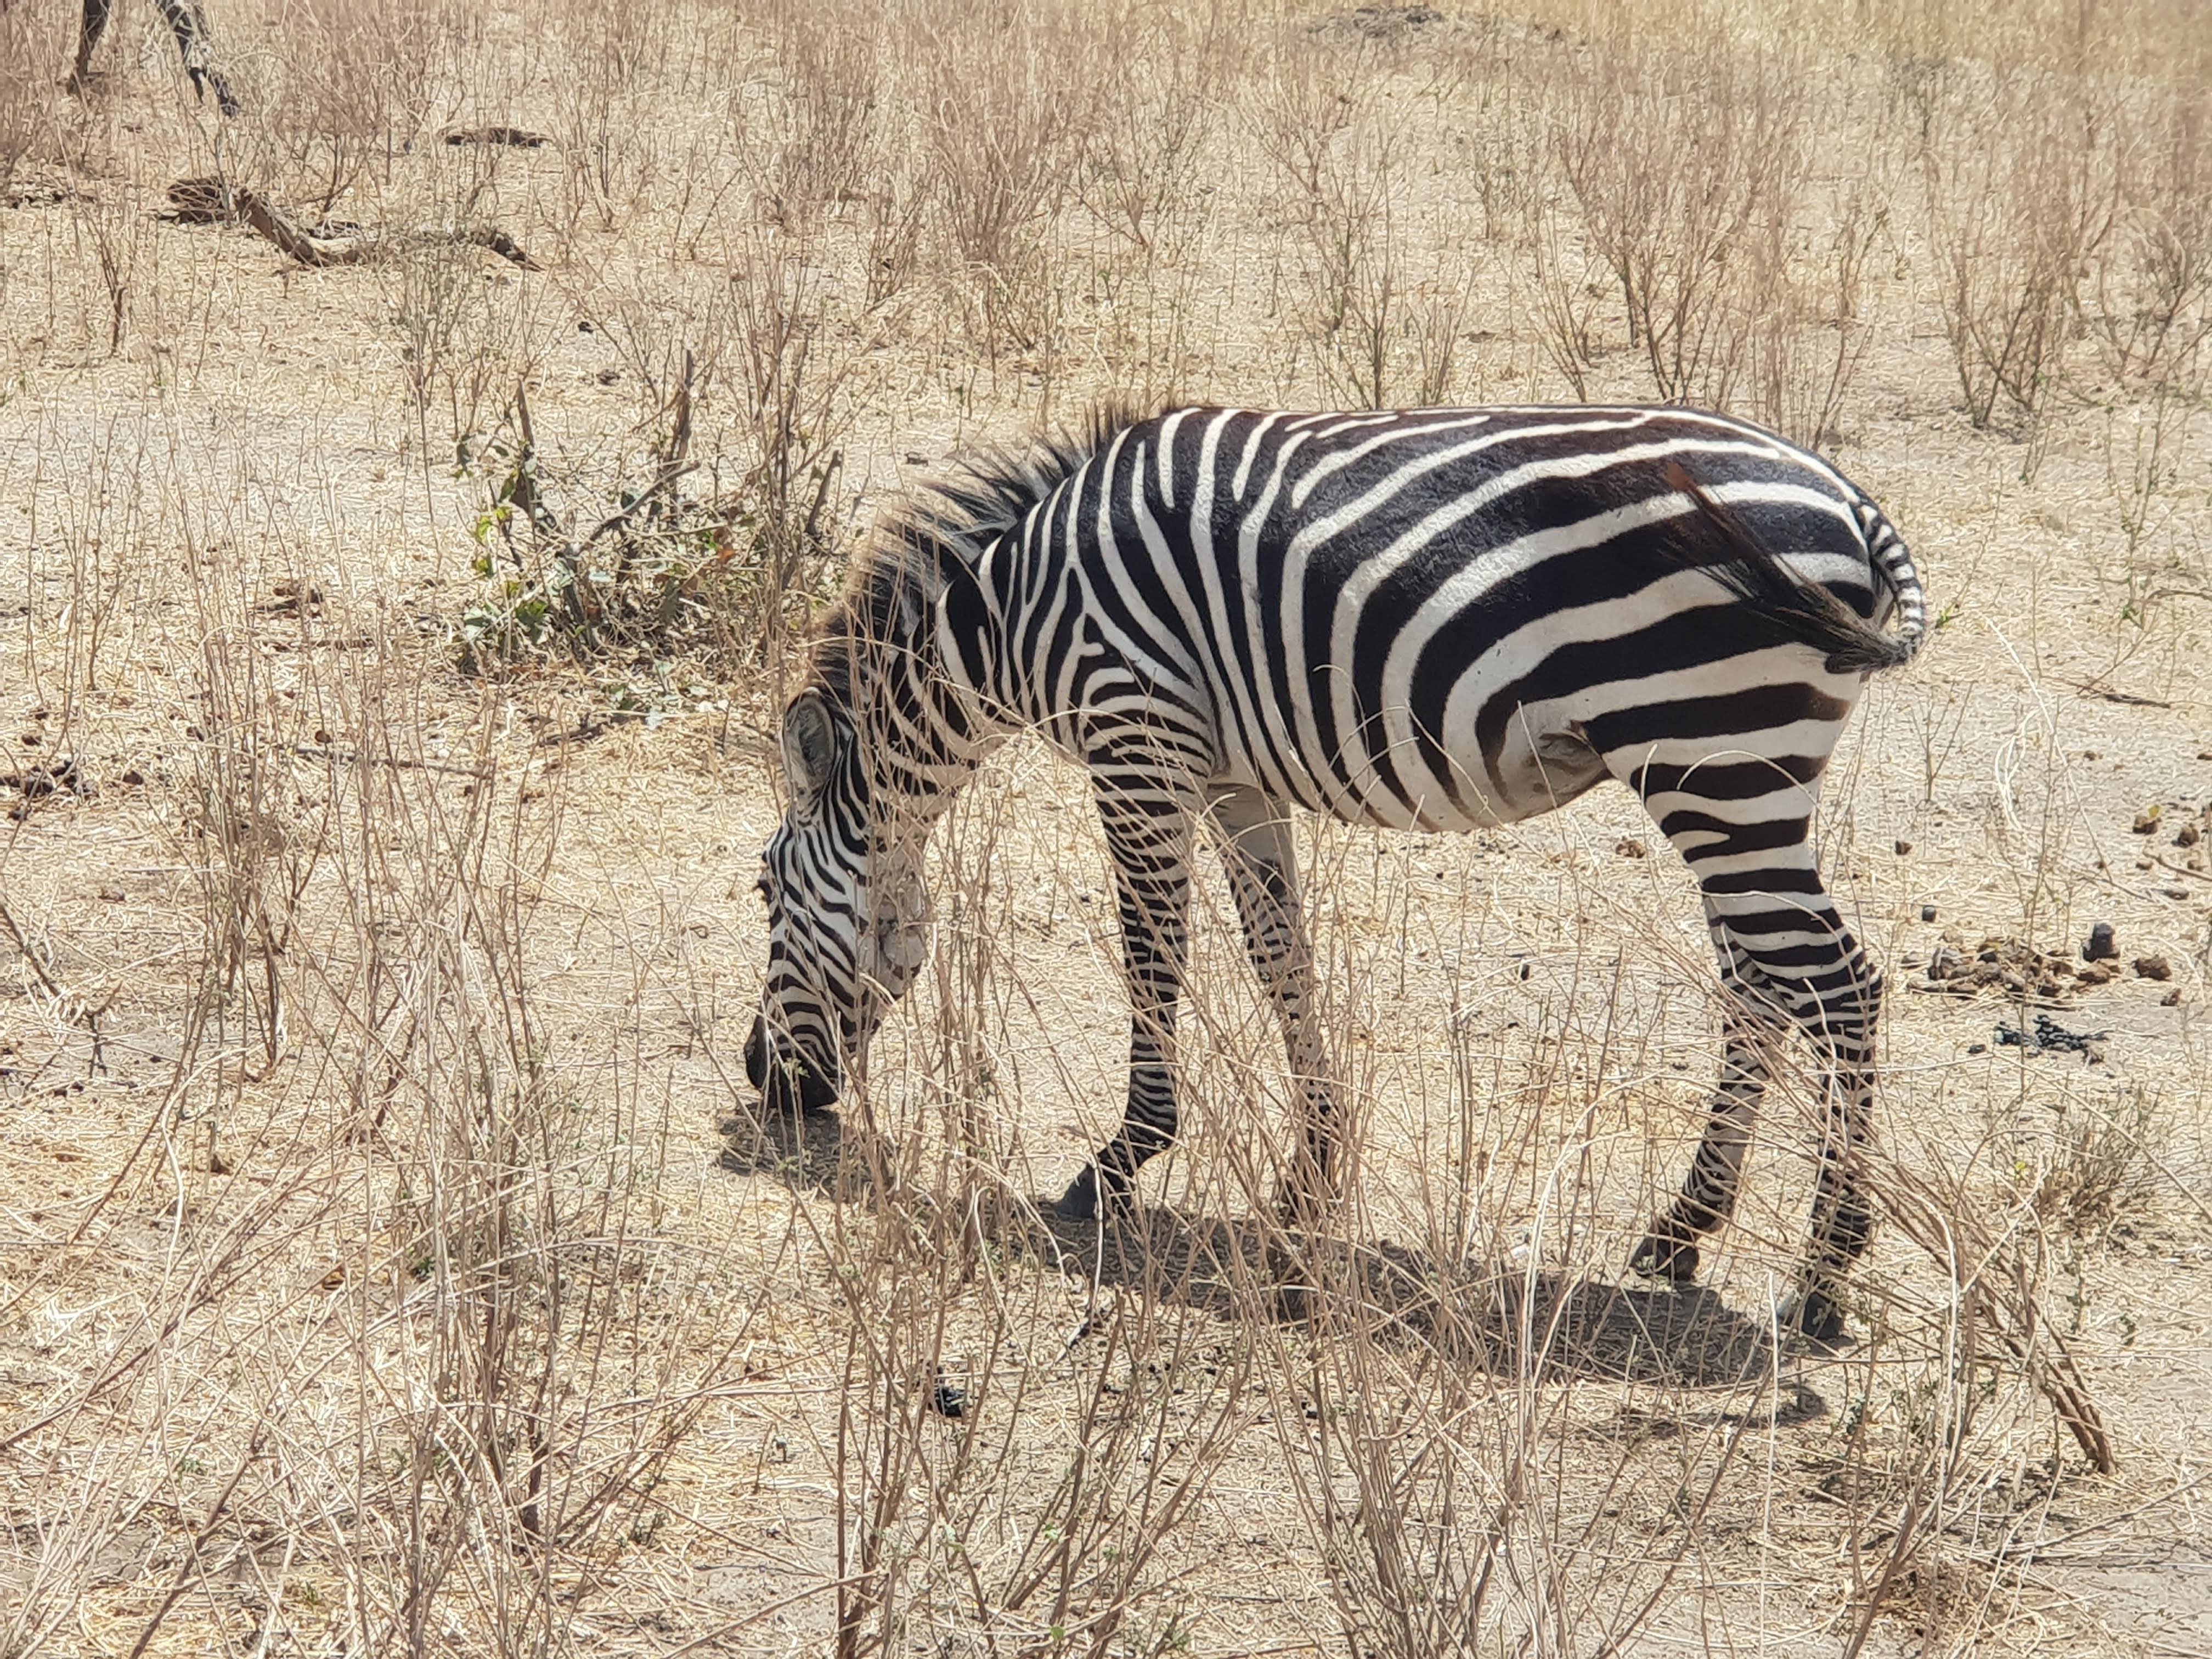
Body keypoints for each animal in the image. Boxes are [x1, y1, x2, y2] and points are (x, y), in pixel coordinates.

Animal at [743, 404, 1925, 1342]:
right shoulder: (1231, 775)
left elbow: (1152, 954)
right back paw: (1683, 1228)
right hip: (1727, 773)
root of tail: (1853, 505)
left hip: (1714, 751)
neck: (1010, 619)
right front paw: (1309, 1175)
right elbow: (1280, 958)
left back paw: (1826, 1270)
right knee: (1759, 982)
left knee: (1842, 984)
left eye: (762, 890)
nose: (763, 1081)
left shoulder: (1136, 739)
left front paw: (1124, 1159)